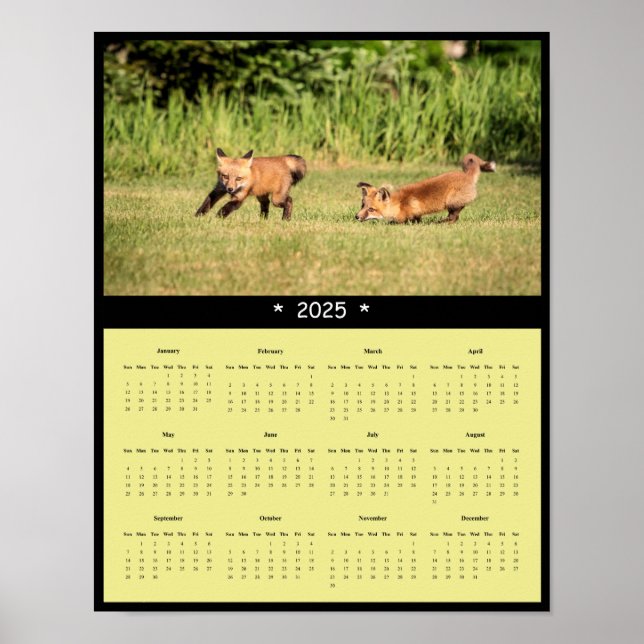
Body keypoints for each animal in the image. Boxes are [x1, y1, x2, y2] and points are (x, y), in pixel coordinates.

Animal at [355, 153, 496, 224]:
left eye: (371, 209)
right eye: (362, 206)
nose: (356, 216)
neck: (399, 204)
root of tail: (466, 175)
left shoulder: (408, 215)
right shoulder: (417, 214)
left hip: (451, 202)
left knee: (454, 217)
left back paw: (439, 222)